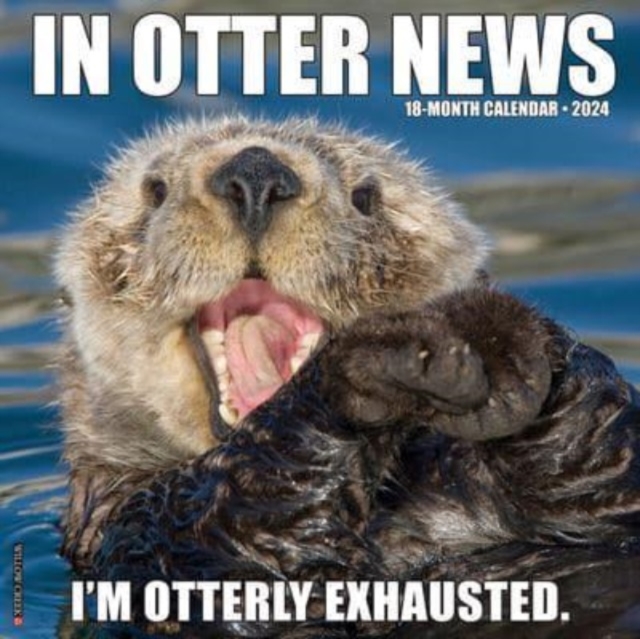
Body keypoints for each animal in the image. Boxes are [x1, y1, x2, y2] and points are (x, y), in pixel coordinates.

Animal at [55, 116, 640, 635]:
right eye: (154, 191)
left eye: (366, 197)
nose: (256, 172)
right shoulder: (146, 532)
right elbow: (257, 545)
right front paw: (376, 361)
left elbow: (607, 473)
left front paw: (493, 329)